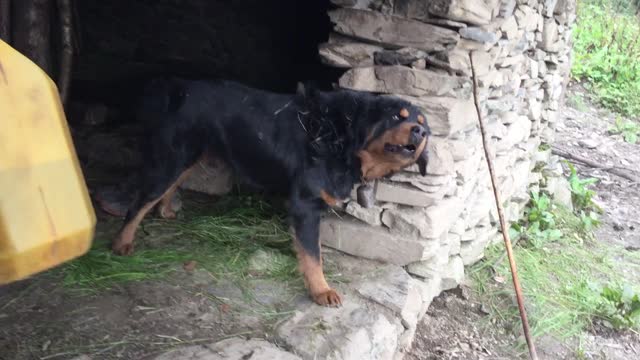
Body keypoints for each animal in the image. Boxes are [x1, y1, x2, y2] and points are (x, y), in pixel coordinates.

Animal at [112, 79, 432, 306]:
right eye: (397, 117)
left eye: (424, 125)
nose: (420, 132)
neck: (343, 137)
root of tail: (179, 90)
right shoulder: (306, 205)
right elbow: (313, 255)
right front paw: (321, 291)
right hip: (172, 159)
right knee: (139, 202)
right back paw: (122, 243)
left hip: (189, 157)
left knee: (169, 188)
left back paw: (165, 210)